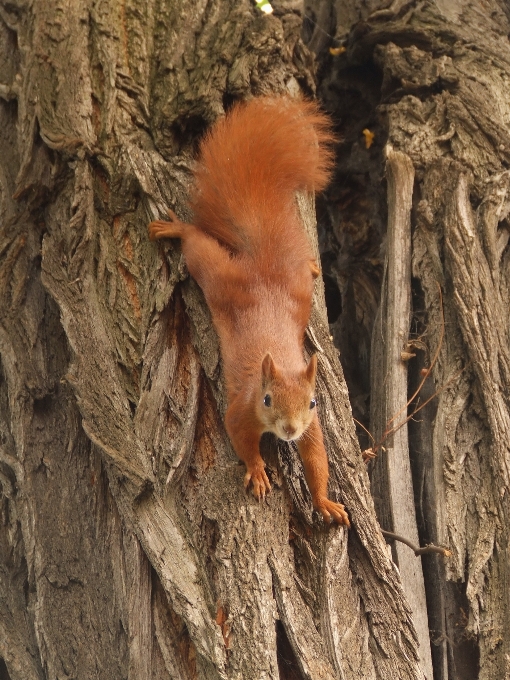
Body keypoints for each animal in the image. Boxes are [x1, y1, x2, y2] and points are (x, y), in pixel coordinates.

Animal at [148, 95, 350, 524]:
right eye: (268, 399)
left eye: (312, 402)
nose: (289, 429)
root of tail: (263, 271)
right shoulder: (242, 410)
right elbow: (239, 437)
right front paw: (257, 470)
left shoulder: (312, 426)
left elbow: (316, 459)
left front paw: (324, 501)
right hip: (218, 278)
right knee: (197, 246)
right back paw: (175, 229)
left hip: (298, 288)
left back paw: (312, 265)